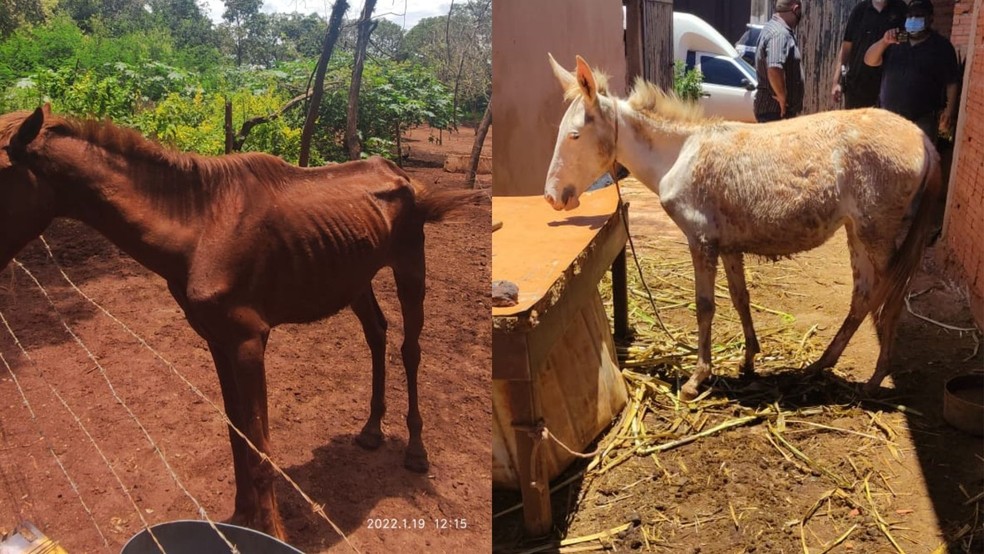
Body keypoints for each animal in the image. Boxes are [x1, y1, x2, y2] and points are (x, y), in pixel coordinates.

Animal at [0, 105, 476, 536]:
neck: (198, 229)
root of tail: (401, 174)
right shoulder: (217, 340)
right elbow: (237, 438)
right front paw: (243, 517)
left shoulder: (249, 342)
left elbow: (260, 450)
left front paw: (273, 532)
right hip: (356, 278)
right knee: (377, 335)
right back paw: (373, 429)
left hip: (410, 267)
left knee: (410, 349)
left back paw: (416, 450)